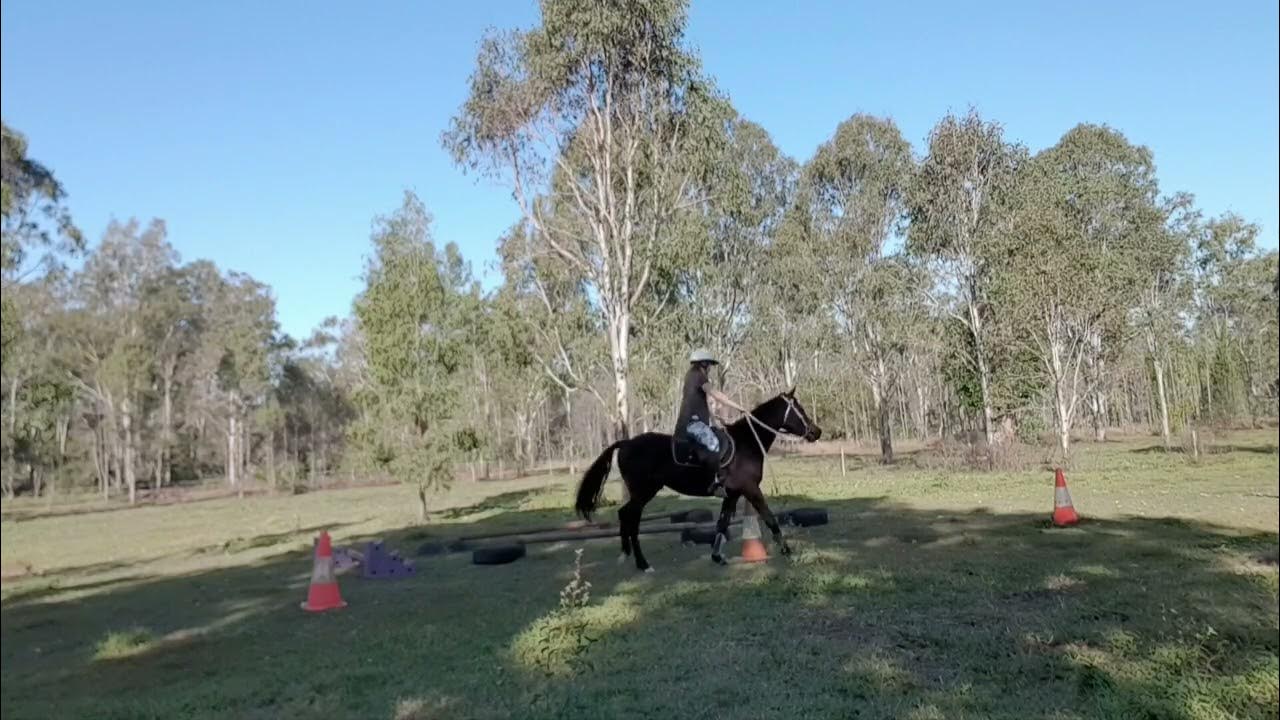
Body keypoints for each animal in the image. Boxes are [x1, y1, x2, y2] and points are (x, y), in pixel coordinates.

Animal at [574, 388, 822, 572]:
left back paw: (629, 557)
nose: (816, 432)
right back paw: (642, 564)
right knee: (629, 518)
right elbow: (769, 518)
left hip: (642, 492)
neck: (747, 442)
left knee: (625, 516)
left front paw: (717, 557)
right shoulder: (750, 489)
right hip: (643, 492)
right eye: (799, 409)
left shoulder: (733, 494)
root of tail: (626, 443)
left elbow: (722, 523)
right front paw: (787, 551)